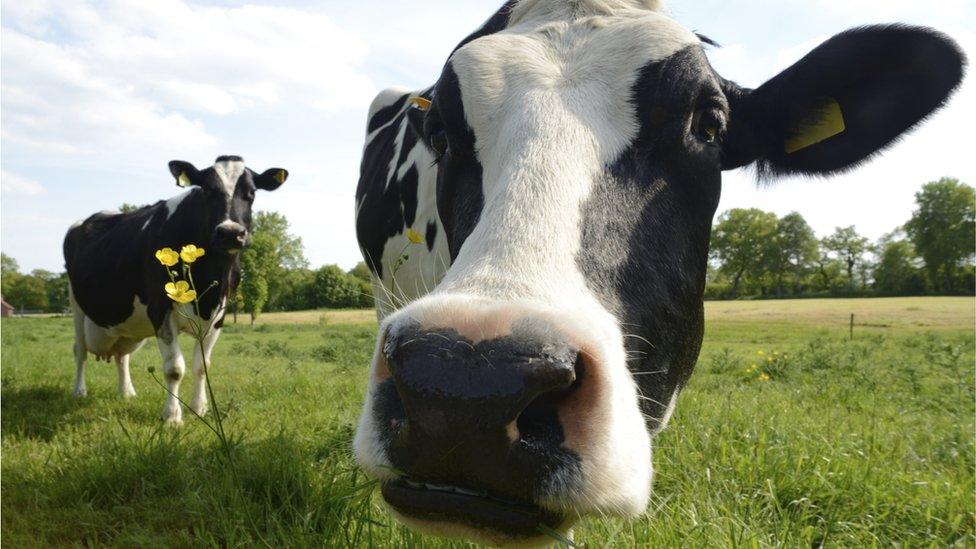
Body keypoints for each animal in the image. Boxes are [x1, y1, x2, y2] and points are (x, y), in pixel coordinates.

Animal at [64, 156, 287, 423]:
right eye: (207, 190)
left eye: (251, 193)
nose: (230, 233)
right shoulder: (161, 308)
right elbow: (174, 369)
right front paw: (172, 416)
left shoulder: (220, 313)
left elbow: (202, 366)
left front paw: (200, 408)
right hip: (76, 304)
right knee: (80, 351)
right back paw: (79, 391)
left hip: (124, 325)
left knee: (122, 356)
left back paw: (127, 392)